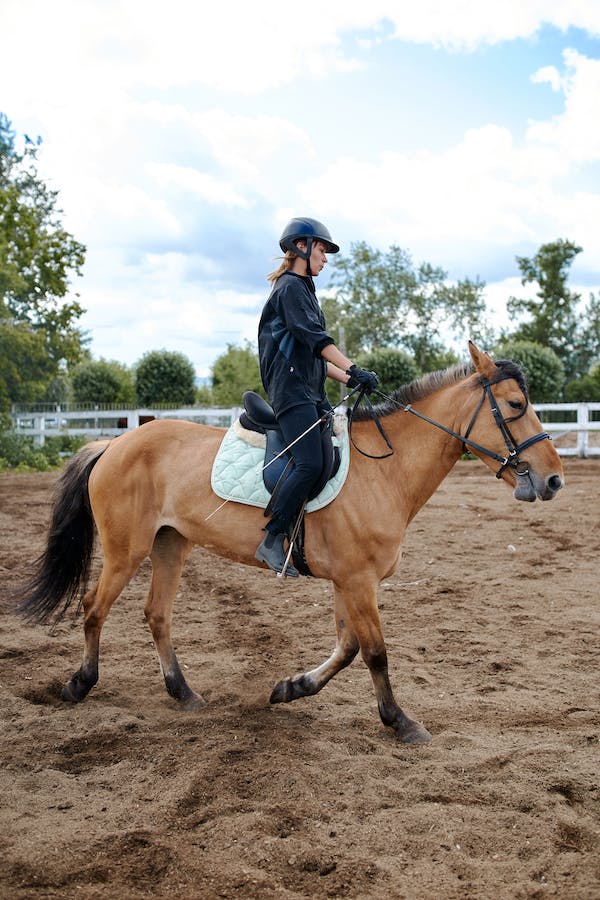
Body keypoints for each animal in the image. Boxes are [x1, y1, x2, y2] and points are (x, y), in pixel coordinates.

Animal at [14, 343, 564, 744]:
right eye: (516, 406)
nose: (554, 480)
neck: (385, 469)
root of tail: (114, 443)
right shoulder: (358, 581)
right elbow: (375, 652)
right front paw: (401, 722)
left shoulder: (348, 581)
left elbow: (347, 648)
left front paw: (291, 688)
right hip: (127, 550)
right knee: (94, 608)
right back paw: (79, 684)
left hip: (171, 544)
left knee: (157, 615)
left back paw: (183, 692)